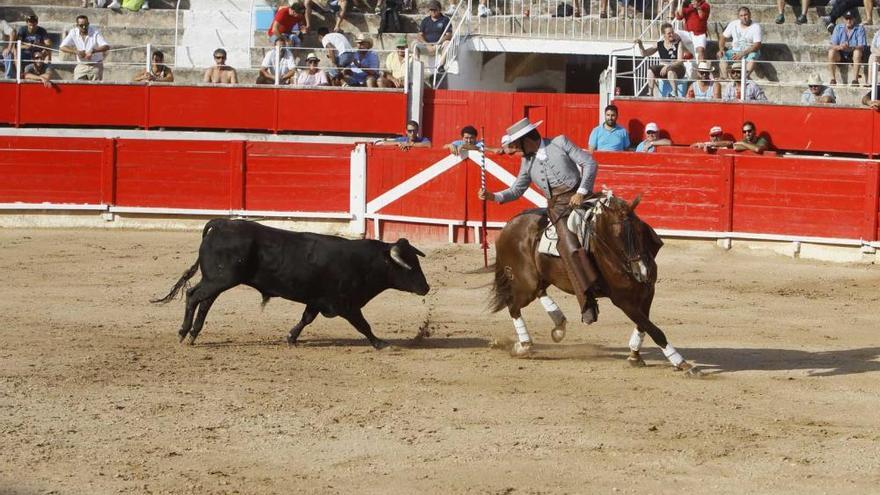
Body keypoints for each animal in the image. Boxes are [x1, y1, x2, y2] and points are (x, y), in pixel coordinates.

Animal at [152, 221, 434, 348]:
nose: (426, 288)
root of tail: (221, 224)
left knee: (205, 301)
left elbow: (306, 319)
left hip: (217, 281)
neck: (365, 262)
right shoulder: (346, 304)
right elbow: (363, 325)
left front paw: (291, 338)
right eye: (409, 266)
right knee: (193, 296)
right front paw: (380, 343)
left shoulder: (318, 301)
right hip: (219, 279)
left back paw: (193, 334)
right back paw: (184, 333)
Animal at [492, 191, 696, 376]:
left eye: (640, 230)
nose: (642, 271)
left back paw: (558, 325)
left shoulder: (648, 291)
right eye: (617, 236)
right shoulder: (623, 301)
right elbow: (653, 329)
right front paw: (681, 363)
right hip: (526, 282)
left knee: (538, 293)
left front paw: (634, 356)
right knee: (513, 306)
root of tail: (509, 225)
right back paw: (524, 346)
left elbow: (644, 324)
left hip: (540, 278)